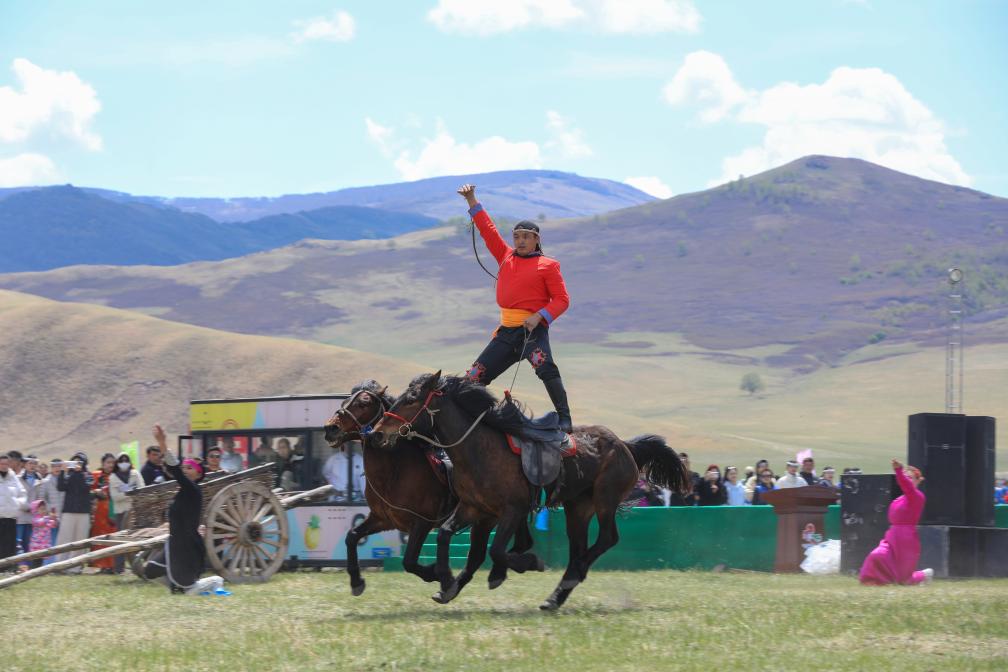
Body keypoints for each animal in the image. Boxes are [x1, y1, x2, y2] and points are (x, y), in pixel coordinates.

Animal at [323, 380, 537, 597]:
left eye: (363, 403)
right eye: (345, 402)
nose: (330, 428)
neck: (394, 470)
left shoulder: (422, 522)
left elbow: (409, 561)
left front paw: (436, 573)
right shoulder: (383, 519)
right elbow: (351, 537)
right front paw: (356, 581)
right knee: (518, 543)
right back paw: (500, 572)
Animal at [372, 371, 691, 609]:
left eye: (412, 399)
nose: (377, 431)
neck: (479, 449)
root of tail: (625, 445)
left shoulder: (512, 510)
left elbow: (497, 549)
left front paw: (529, 563)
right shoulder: (474, 508)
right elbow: (447, 535)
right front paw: (447, 584)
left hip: (604, 499)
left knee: (606, 539)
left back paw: (571, 577)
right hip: (578, 508)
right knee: (578, 547)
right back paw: (556, 596)